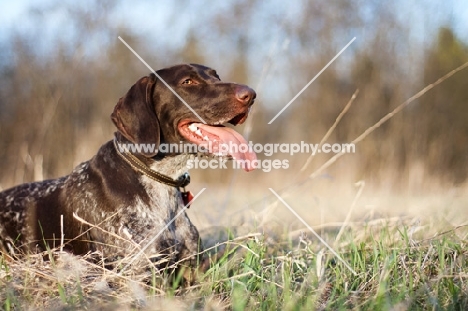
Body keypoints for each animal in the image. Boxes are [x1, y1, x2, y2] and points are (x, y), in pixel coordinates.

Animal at [0, 64, 256, 276]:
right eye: (188, 82)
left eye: (216, 76)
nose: (250, 95)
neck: (159, 180)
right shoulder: (140, 272)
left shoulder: (191, 270)